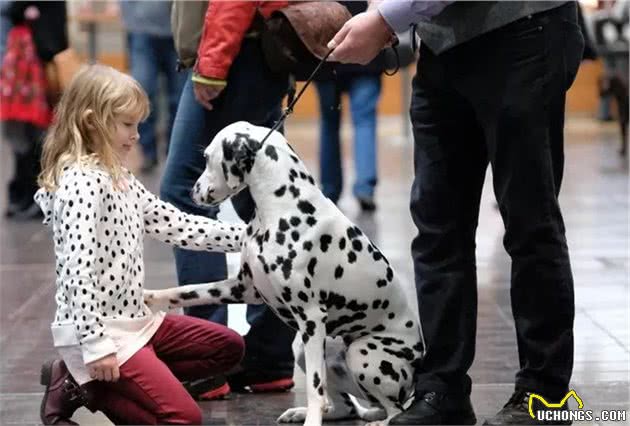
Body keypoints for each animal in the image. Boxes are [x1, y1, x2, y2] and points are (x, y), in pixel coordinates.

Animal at [146, 121, 428, 424]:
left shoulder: (311, 318)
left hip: (361, 353)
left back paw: (378, 419)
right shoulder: (242, 288)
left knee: (395, 410)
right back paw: (305, 412)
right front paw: (148, 297)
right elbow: (186, 292)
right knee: (348, 408)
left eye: (208, 157)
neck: (283, 207)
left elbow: (316, 388)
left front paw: (312, 420)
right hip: (309, 349)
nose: (193, 191)